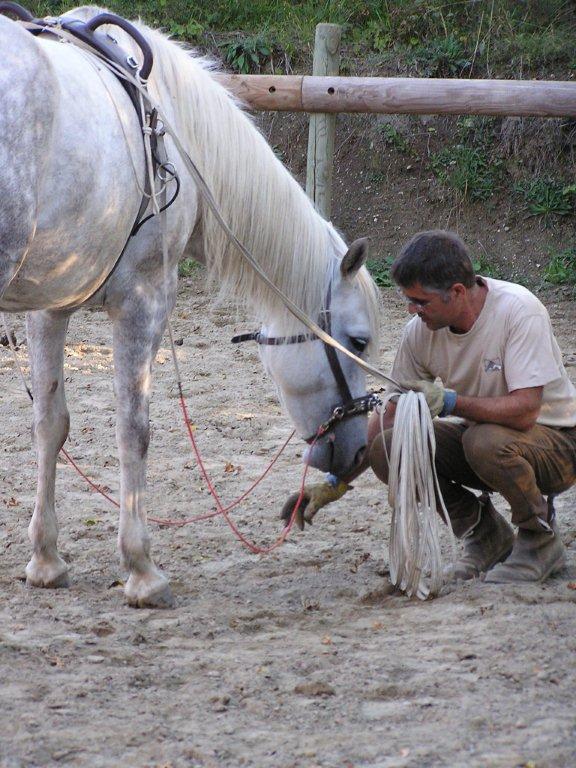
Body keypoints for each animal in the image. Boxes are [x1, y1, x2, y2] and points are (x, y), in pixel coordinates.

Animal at [1, 6, 382, 608]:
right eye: (360, 342)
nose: (358, 451)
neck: (170, 123)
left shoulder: (49, 306)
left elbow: (50, 425)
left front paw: (45, 559)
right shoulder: (144, 301)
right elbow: (134, 430)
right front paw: (141, 569)